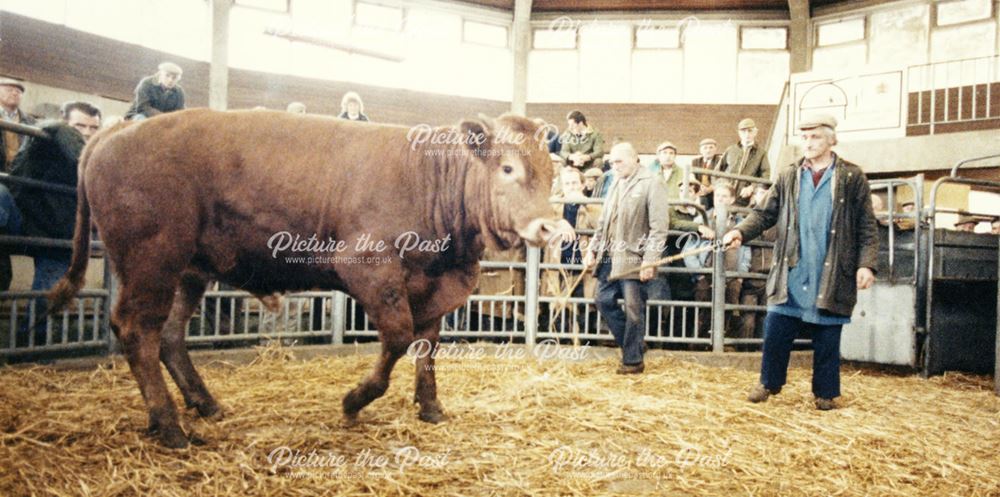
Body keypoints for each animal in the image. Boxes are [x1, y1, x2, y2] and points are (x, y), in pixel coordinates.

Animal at [50, 110, 576, 448]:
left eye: (551, 175)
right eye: (507, 167)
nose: (551, 229)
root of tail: (116, 132)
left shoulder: (436, 287)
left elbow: (426, 347)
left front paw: (430, 408)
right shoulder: (368, 267)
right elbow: (399, 337)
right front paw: (353, 400)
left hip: (188, 269)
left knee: (171, 335)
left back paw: (205, 404)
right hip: (151, 260)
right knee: (137, 330)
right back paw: (170, 426)